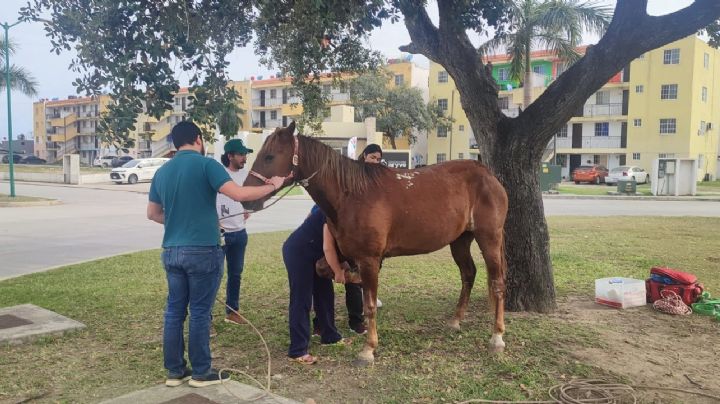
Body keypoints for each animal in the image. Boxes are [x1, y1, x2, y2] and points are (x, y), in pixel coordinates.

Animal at [245, 121, 510, 364]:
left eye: (269, 156)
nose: (248, 199)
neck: (352, 194)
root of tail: (487, 174)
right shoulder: (346, 254)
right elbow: (324, 269)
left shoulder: (369, 259)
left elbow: (369, 305)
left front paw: (368, 350)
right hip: (460, 241)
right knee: (468, 274)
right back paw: (456, 321)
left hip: (489, 238)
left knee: (497, 282)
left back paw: (497, 337)